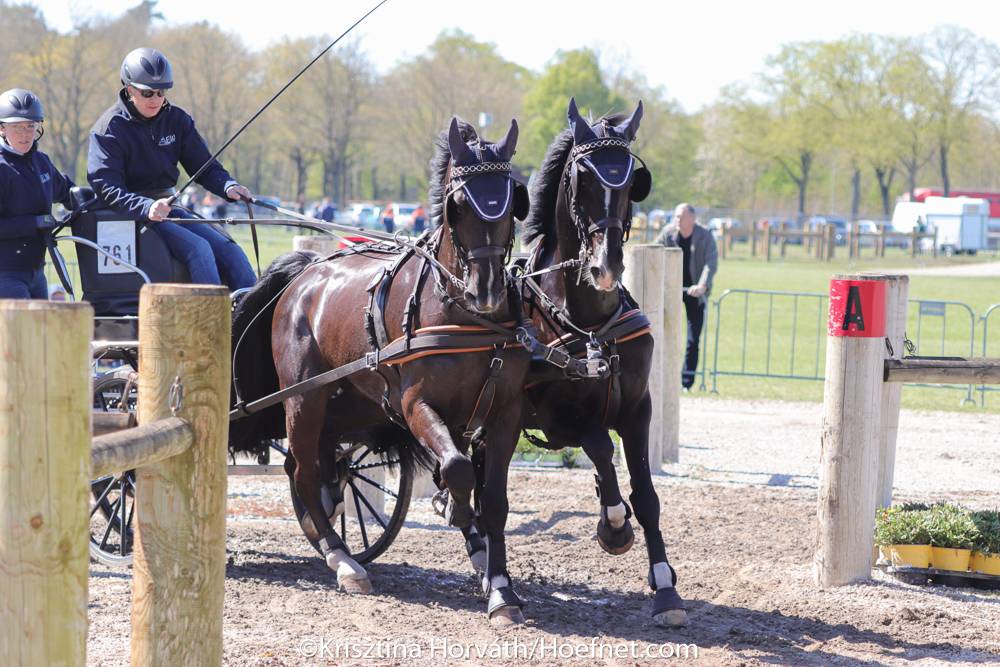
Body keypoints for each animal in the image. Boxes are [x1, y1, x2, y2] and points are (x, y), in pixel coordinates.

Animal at [229, 117, 533, 625]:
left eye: (512, 201)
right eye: (458, 205)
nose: (488, 290)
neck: (464, 315)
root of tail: (305, 270)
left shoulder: (504, 414)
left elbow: (494, 500)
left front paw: (499, 586)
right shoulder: (415, 405)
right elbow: (457, 470)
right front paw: (463, 524)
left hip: (352, 401)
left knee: (315, 463)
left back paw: (331, 532)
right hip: (304, 396)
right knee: (303, 469)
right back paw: (341, 559)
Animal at [515, 98, 687, 627]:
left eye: (632, 182)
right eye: (583, 179)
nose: (605, 267)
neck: (588, 323)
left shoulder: (637, 408)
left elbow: (647, 497)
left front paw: (666, 588)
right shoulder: (553, 420)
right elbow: (599, 446)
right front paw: (613, 525)